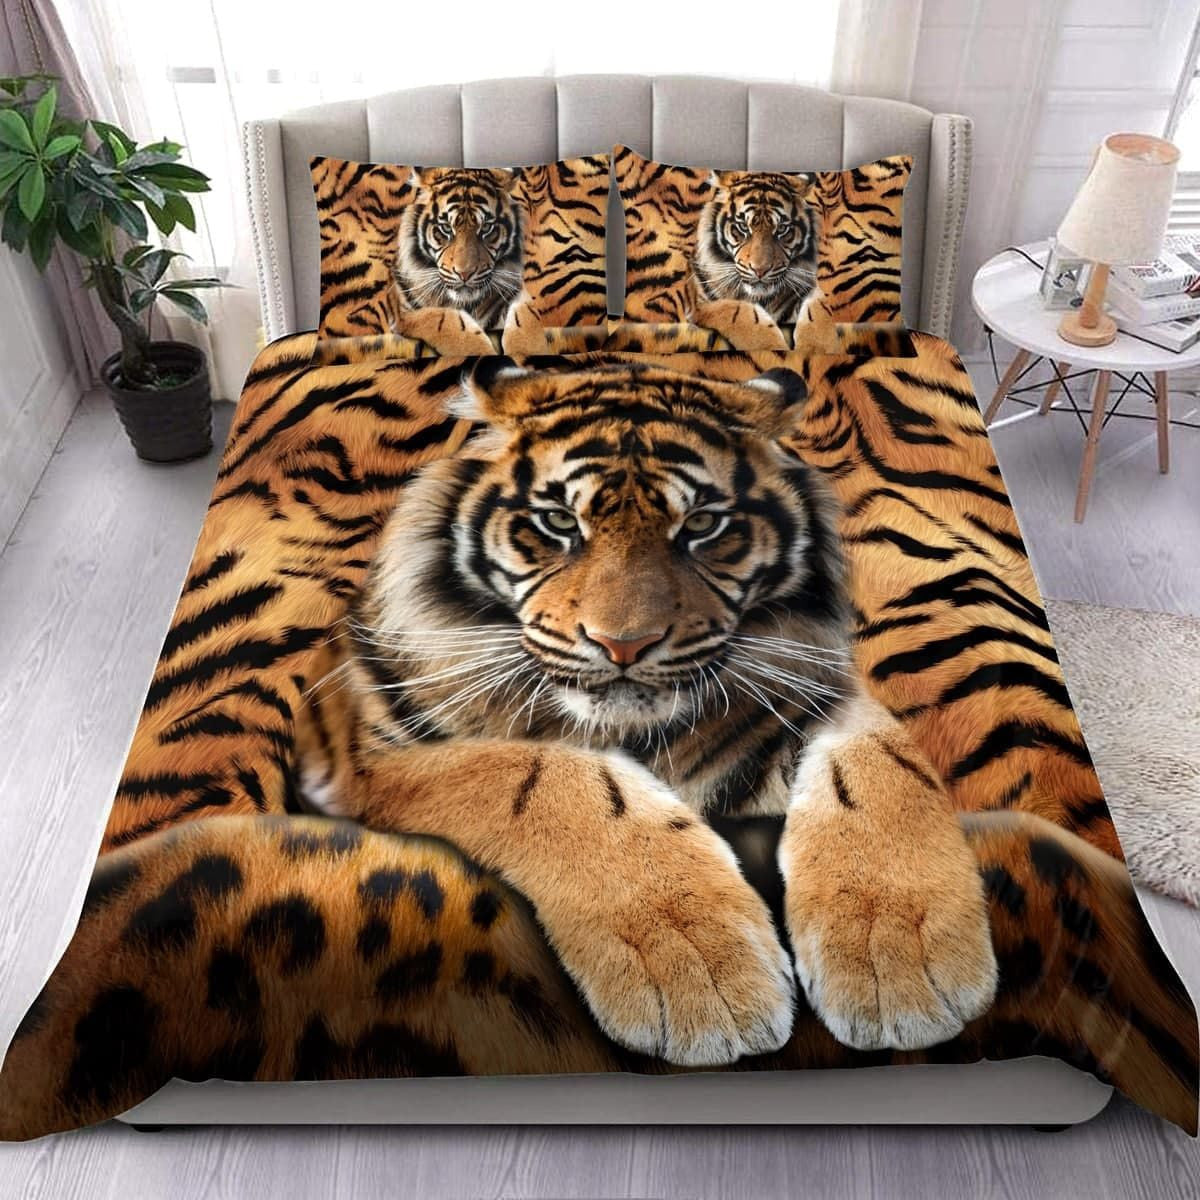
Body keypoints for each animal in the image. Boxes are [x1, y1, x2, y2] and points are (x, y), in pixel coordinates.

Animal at [2, 336, 1196, 1140]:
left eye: (703, 527)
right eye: (555, 526)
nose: (622, 646)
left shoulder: (817, 691)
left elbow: (881, 767)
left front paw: (901, 960)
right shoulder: (366, 753)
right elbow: (546, 776)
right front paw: (703, 974)